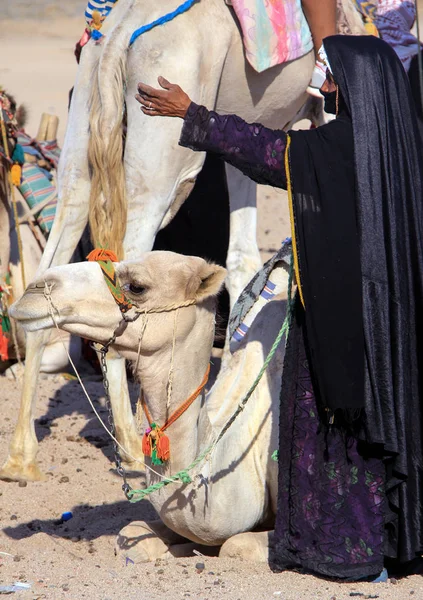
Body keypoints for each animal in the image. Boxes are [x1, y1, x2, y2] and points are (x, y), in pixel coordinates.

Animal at [0, 0, 364, 480]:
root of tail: (119, 31)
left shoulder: (251, 133)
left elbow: (242, 260)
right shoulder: (320, 116)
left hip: (82, 136)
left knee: (54, 256)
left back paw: (21, 456)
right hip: (165, 159)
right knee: (124, 262)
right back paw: (132, 447)